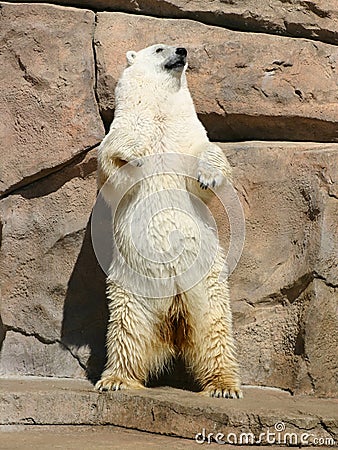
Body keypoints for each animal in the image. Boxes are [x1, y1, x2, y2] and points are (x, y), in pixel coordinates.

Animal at [95, 44, 243, 398]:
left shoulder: (188, 134)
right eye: (159, 48)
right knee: (128, 329)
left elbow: (207, 157)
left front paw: (208, 176)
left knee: (214, 329)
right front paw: (133, 154)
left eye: (177, 44)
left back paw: (224, 385)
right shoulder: (126, 127)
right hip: (133, 287)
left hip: (207, 281)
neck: (160, 114)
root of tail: (174, 310)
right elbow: (113, 163)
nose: (182, 51)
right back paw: (116, 379)